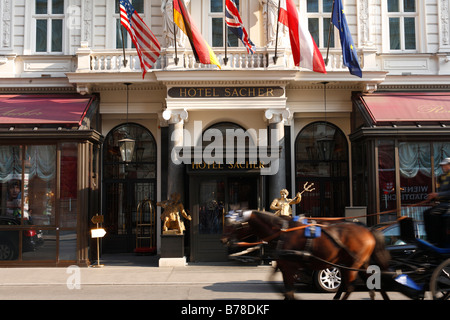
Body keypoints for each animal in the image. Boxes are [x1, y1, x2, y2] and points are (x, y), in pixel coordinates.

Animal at [225, 210, 390, 300]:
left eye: (234, 225)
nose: (223, 239)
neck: (282, 232)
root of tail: (368, 230)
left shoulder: (289, 268)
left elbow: (289, 290)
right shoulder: (284, 266)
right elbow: (280, 286)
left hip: (352, 263)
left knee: (350, 287)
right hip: (358, 263)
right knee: (373, 279)